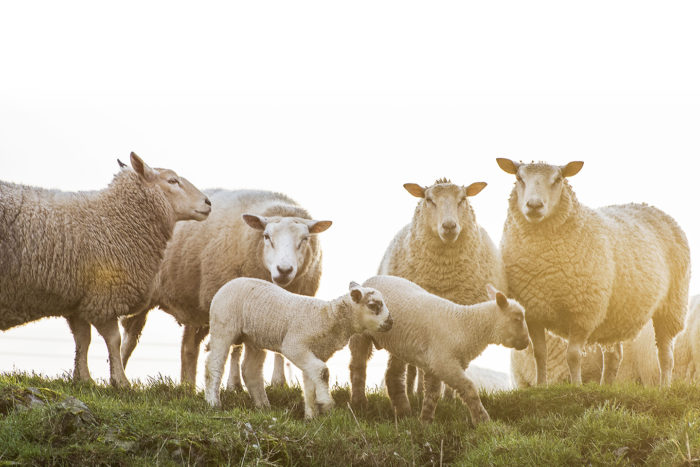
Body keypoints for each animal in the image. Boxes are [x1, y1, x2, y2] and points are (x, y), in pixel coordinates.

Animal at [0, 154, 209, 388]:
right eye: (172, 180)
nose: (208, 203)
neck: (112, 218)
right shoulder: (105, 297)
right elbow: (114, 340)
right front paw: (120, 381)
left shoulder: (79, 300)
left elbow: (83, 339)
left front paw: (83, 378)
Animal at [119, 188, 332, 390]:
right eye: (266, 236)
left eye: (305, 238)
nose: (284, 270)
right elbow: (235, 348)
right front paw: (234, 385)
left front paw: (279, 383)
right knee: (129, 339)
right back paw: (120, 376)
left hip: (194, 304)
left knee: (188, 347)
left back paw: (187, 386)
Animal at [204, 278, 394, 420]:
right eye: (373, 305)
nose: (391, 322)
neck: (329, 317)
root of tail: (227, 285)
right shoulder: (294, 345)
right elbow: (323, 372)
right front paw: (326, 403)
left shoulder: (313, 352)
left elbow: (312, 380)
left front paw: (311, 415)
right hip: (223, 325)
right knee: (214, 364)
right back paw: (213, 402)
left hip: (254, 338)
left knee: (250, 370)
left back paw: (263, 406)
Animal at [348, 276, 528, 426]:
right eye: (517, 318)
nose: (526, 343)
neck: (466, 326)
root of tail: (369, 280)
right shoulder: (445, 363)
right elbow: (469, 389)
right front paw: (483, 421)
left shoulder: (435, 364)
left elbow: (433, 394)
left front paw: (425, 422)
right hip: (360, 334)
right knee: (358, 367)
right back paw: (359, 403)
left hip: (399, 345)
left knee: (393, 376)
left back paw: (403, 411)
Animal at [498, 158, 688, 388]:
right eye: (519, 178)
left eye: (558, 179)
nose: (534, 206)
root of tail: (650, 206)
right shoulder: (534, 310)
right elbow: (539, 354)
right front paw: (541, 386)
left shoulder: (584, 310)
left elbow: (573, 355)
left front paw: (576, 386)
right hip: (619, 310)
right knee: (614, 356)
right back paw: (606, 387)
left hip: (671, 305)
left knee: (665, 354)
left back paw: (664, 387)